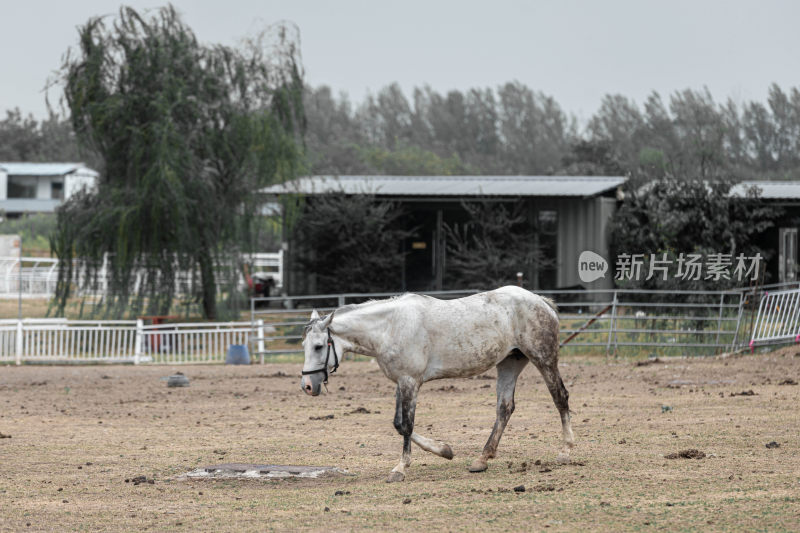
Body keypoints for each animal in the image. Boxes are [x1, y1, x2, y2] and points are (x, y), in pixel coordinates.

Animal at [296, 286, 572, 482]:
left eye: (318, 346)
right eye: (304, 345)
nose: (307, 385)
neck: (389, 327)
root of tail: (540, 301)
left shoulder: (410, 382)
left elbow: (406, 426)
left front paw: (400, 468)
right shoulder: (402, 382)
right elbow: (399, 425)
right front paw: (445, 450)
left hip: (544, 359)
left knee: (560, 398)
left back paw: (566, 451)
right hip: (509, 363)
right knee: (504, 409)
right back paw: (482, 459)